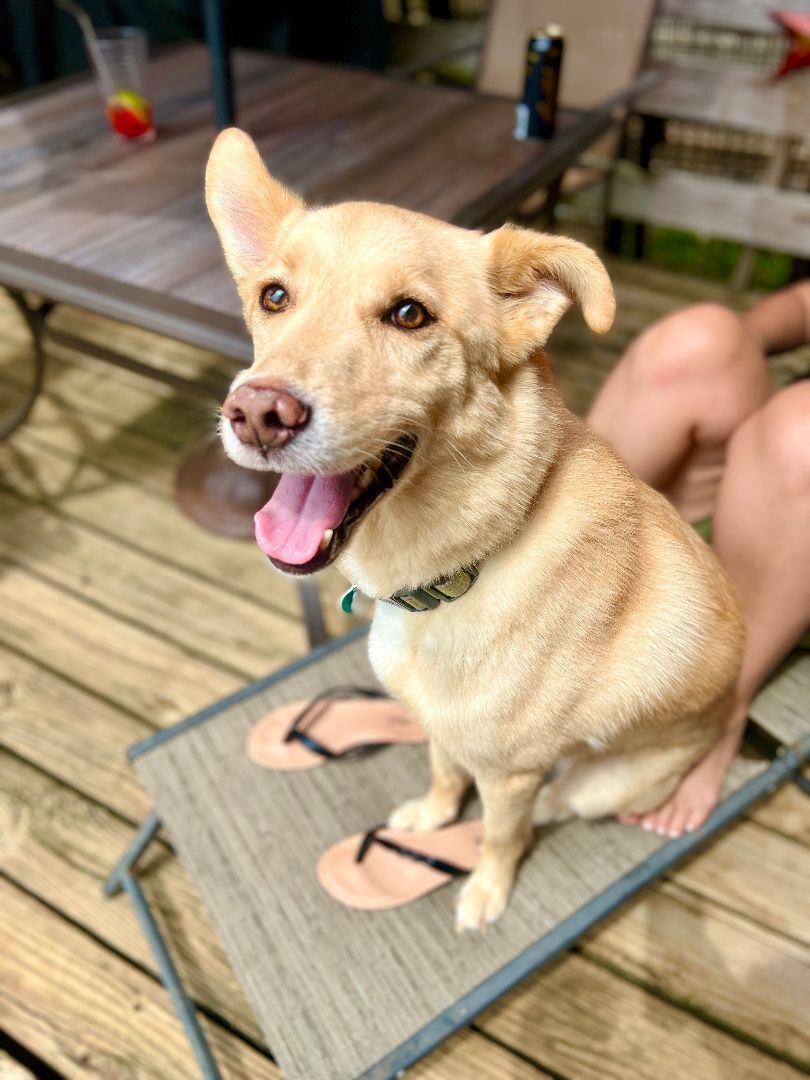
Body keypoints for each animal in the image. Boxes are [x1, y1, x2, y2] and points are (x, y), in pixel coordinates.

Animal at [206, 130, 747, 933]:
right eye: (274, 296)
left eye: (409, 314)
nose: (258, 413)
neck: (456, 570)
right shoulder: (442, 728)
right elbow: (439, 769)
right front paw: (432, 814)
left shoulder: (511, 771)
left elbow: (497, 833)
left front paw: (485, 891)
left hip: (597, 783)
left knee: (548, 807)